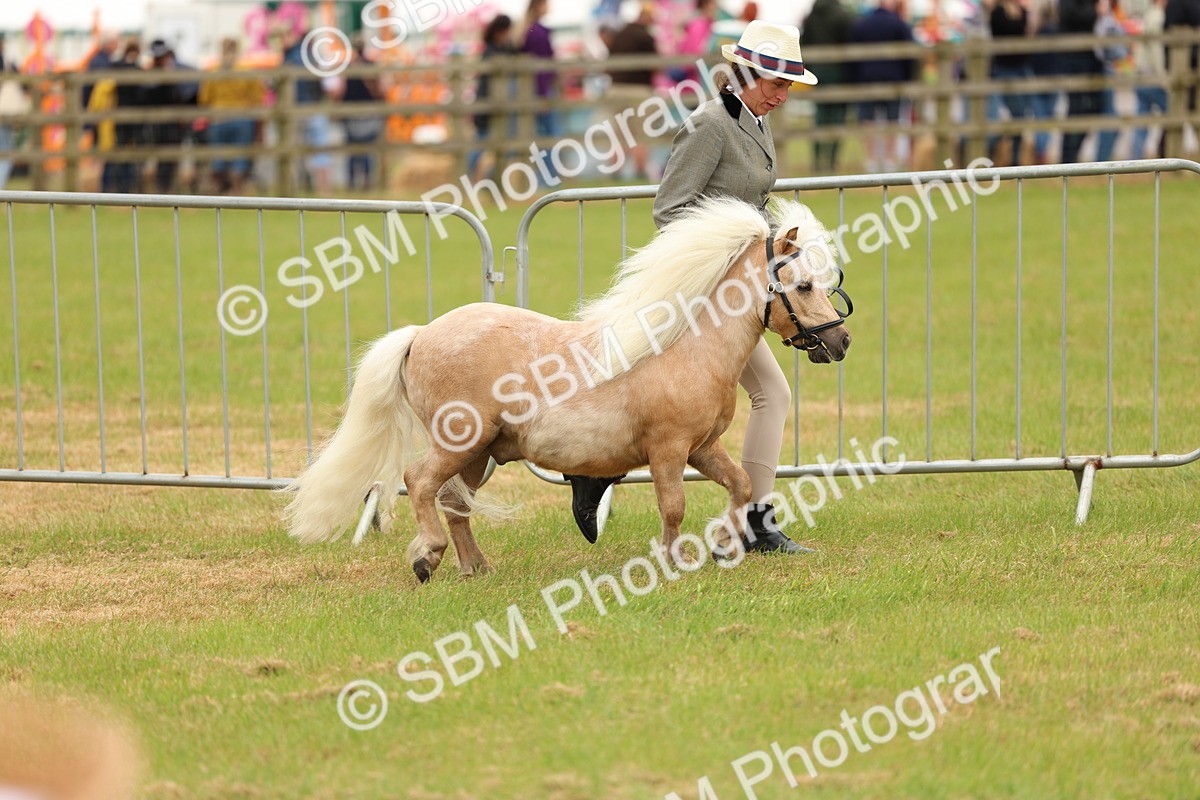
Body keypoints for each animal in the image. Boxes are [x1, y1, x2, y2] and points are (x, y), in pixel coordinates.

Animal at [284, 196, 853, 582]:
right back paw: (427, 557)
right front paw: (674, 562)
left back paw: (476, 567)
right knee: (420, 482)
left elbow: (740, 484)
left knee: (453, 501)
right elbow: (673, 507)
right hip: (459, 441)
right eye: (803, 285)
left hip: (477, 454)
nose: (841, 341)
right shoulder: (668, 450)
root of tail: (421, 334)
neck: (687, 346)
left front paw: (722, 544)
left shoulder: (703, 448)